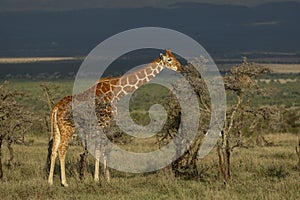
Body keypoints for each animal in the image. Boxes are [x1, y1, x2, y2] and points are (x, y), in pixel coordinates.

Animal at [47, 49, 183, 187]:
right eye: (170, 59)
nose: (181, 68)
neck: (117, 90)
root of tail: (56, 108)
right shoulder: (104, 123)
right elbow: (100, 148)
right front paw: (98, 179)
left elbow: (103, 148)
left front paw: (106, 178)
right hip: (68, 128)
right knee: (62, 149)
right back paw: (64, 182)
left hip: (58, 128)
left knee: (53, 149)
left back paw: (50, 181)